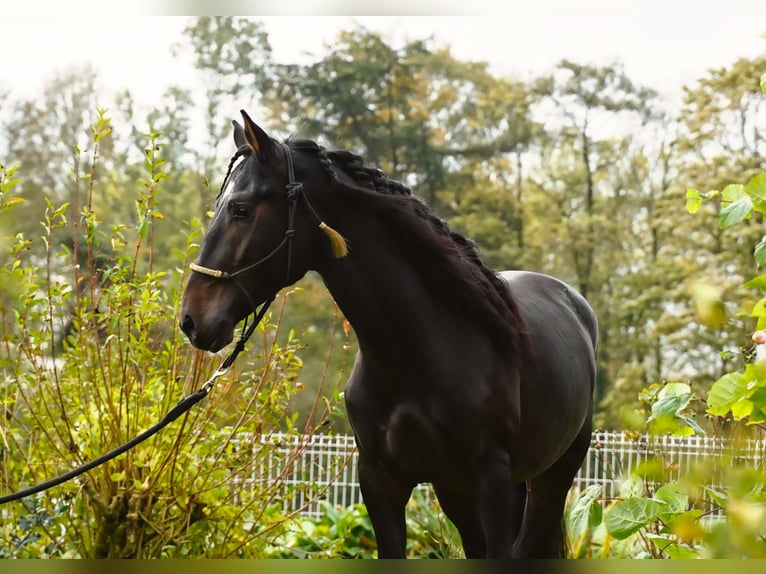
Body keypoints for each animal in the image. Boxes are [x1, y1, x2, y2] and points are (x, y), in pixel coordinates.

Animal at [180, 110, 600, 560]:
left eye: (241, 209)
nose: (191, 319)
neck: (415, 354)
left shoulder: (492, 482)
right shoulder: (382, 481)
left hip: (552, 475)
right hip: (459, 491)